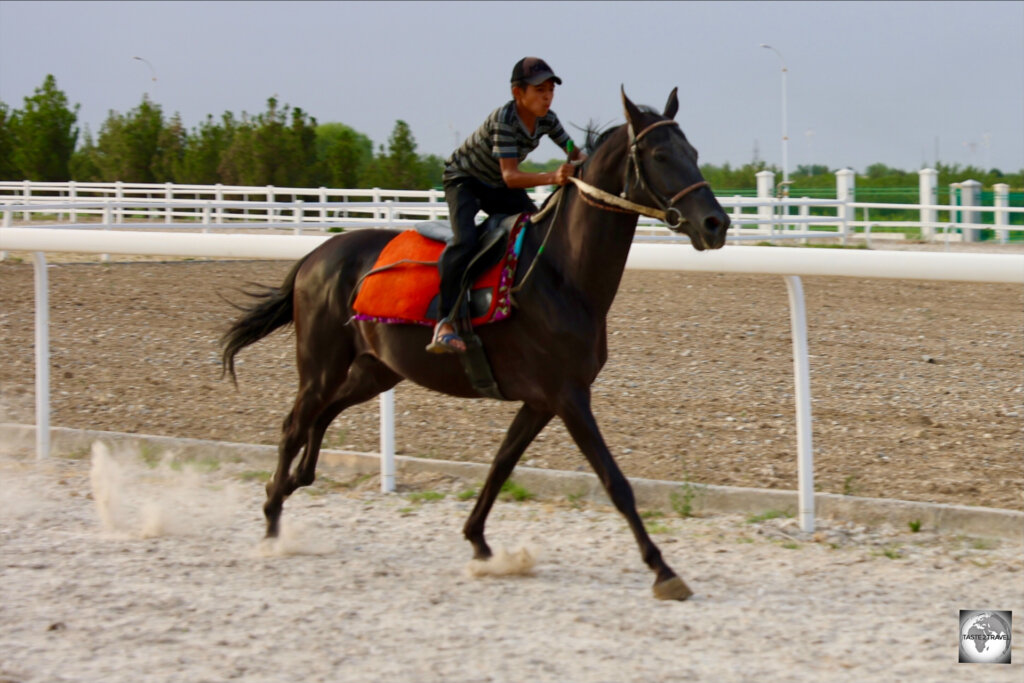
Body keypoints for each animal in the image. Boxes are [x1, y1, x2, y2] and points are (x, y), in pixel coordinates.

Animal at [220, 87, 729, 602]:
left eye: (694, 153)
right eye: (661, 155)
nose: (716, 223)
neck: (560, 274)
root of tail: (313, 256)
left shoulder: (542, 400)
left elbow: (502, 463)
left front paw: (479, 541)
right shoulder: (568, 395)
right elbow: (614, 480)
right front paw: (663, 569)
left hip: (374, 370)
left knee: (321, 416)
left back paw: (295, 482)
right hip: (320, 363)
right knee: (294, 424)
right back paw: (272, 520)